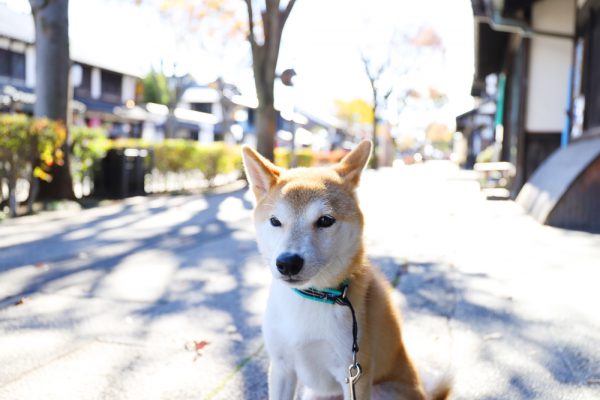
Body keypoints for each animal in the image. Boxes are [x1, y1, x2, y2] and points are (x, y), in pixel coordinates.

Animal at [241, 139, 448, 398]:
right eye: (275, 221)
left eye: (325, 220)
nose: (288, 263)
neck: (312, 298)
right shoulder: (281, 368)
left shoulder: (354, 374)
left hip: (381, 389)